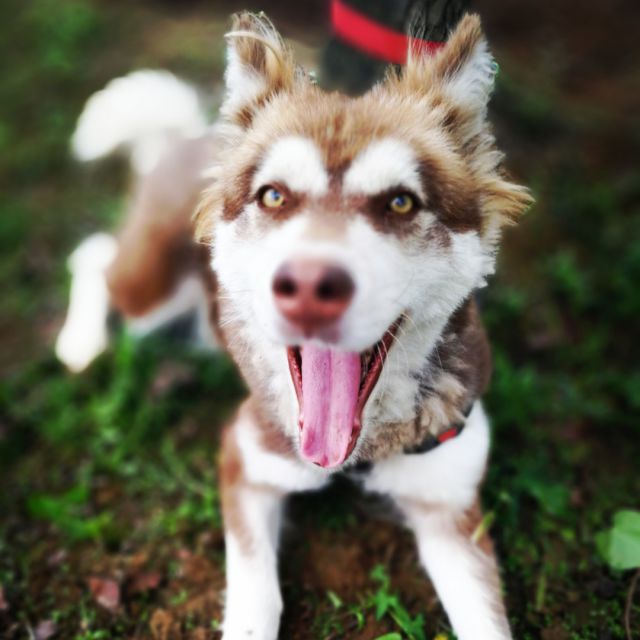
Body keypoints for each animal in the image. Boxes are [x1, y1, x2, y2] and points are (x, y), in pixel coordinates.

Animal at [57, 11, 532, 639]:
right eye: (273, 196)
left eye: (401, 203)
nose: (308, 287)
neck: (360, 452)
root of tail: (190, 137)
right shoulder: (246, 461)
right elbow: (255, 598)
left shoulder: (451, 508)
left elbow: (485, 619)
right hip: (148, 286)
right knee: (90, 255)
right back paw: (79, 343)